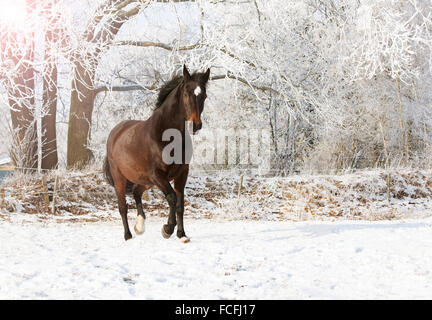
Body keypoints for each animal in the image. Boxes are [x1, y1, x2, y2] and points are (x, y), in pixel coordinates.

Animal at [102, 65, 208, 240]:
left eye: (204, 96)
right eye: (186, 93)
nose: (195, 125)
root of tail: (115, 133)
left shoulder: (181, 174)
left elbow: (180, 204)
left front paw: (182, 234)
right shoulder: (157, 174)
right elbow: (172, 198)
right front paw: (168, 229)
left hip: (145, 180)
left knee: (136, 193)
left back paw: (139, 226)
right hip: (121, 179)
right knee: (122, 206)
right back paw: (128, 235)